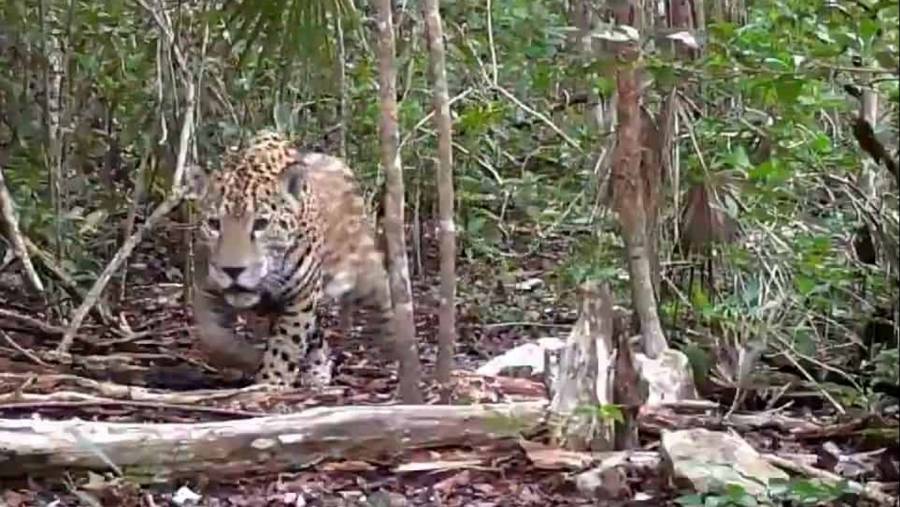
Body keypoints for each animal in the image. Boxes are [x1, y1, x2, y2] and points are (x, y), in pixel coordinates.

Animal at [184, 131, 396, 389]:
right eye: (214, 224)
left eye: (261, 224)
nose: (233, 270)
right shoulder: (206, 290)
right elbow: (213, 339)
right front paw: (252, 358)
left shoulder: (300, 297)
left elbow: (284, 348)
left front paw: (271, 382)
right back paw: (317, 369)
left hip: (358, 267)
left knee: (381, 284)